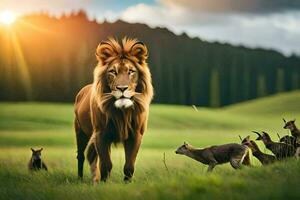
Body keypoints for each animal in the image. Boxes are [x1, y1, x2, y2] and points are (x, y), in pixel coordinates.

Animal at [74, 36, 154, 183]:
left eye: (131, 71)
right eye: (113, 72)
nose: (122, 88)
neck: (122, 113)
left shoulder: (136, 134)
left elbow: (129, 166)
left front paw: (127, 184)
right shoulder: (101, 134)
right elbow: (106, 164)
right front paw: (104, 184)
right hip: (80, 131)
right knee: (81, 156)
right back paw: (80, 179)